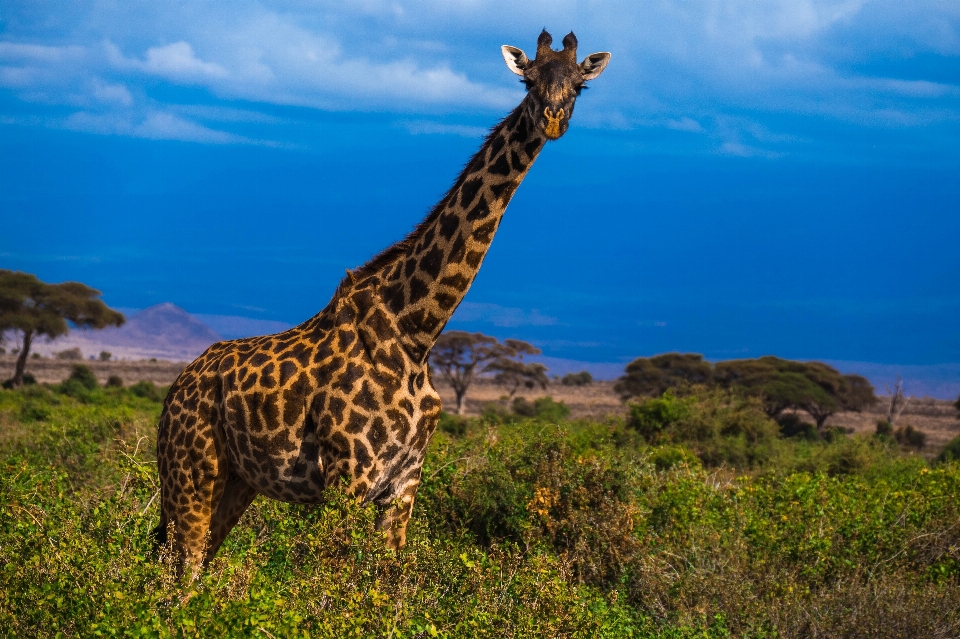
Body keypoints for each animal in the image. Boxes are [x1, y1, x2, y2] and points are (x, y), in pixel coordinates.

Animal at [154, 31, 612, 568]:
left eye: (580, 86)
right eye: (528, 80)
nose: (553, 118)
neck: (418, 329)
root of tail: (176, 388)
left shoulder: (404, 482)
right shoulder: (348, 476)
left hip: (238, 481)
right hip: (191, 469)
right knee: (180, 565)